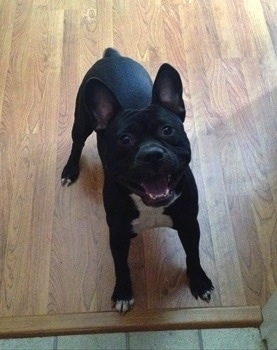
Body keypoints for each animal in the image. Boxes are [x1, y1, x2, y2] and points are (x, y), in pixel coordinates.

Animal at [61, 47, 213, 314]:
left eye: (167, 130)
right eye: (125, 140)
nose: (152, 154)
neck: (148, 205)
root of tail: (112, 56)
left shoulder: (189, 224)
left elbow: (193, 254)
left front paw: (199, 281)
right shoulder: (118, 235)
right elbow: (121, 265)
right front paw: (123, 293)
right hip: (81, 120)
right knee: (77, 142)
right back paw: (70, 170)